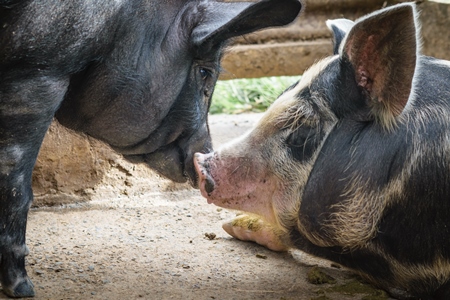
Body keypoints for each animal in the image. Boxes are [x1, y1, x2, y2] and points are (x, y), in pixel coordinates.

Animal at [0, 0, 302, 298]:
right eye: (205, 73)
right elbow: (16, 181)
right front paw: (24, 289)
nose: (204, 155)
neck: (125, 26)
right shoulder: (38, 69)